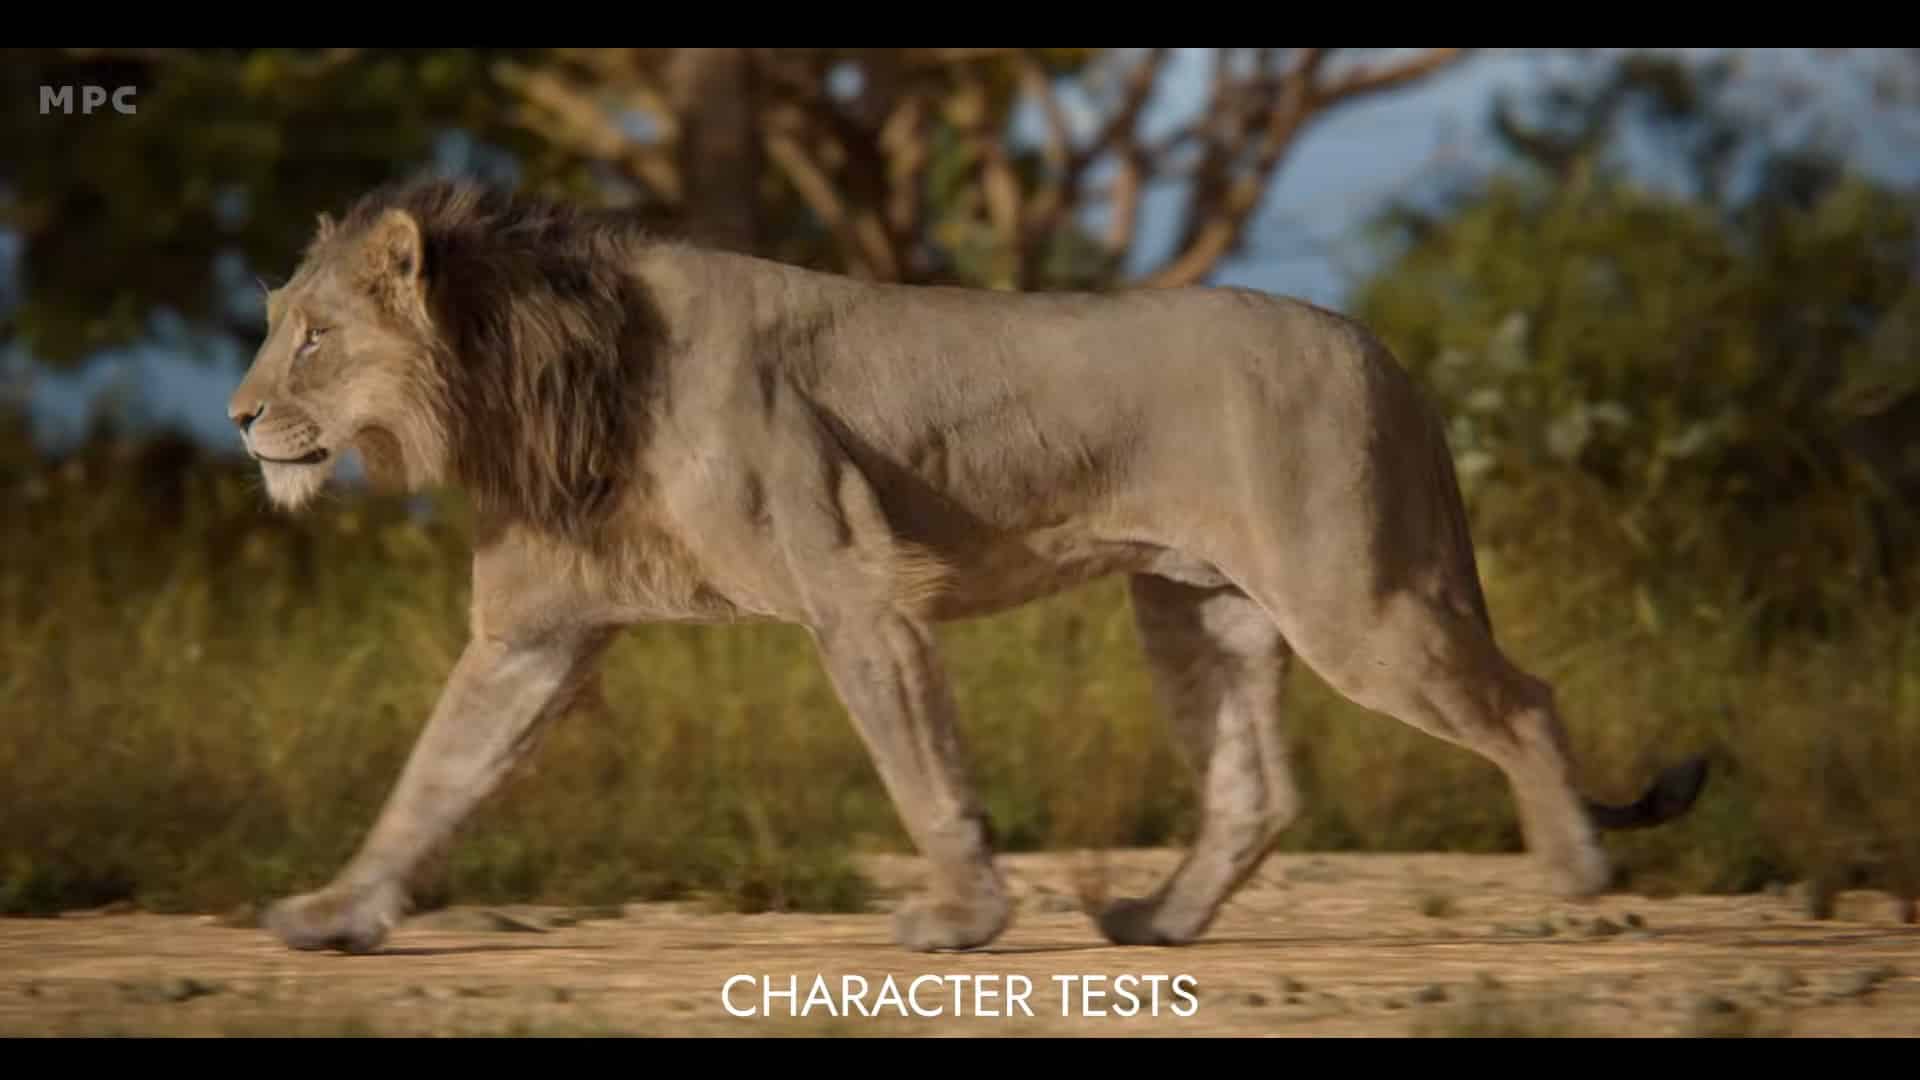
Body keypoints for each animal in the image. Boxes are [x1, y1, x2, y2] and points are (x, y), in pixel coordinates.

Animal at [228, 176, 1708, 955]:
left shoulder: (851, 587)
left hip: (1355, 598)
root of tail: (1385, 351)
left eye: (310, 338)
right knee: (1256, 790)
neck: (528, 380)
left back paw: (1577, 875)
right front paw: (334, 909)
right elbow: (432, 780)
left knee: (1525, 703)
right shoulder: (532, 631)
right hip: (1197, 609)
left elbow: (918, 768)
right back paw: (1160, 923)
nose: (240, 418)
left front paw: (964, 918)